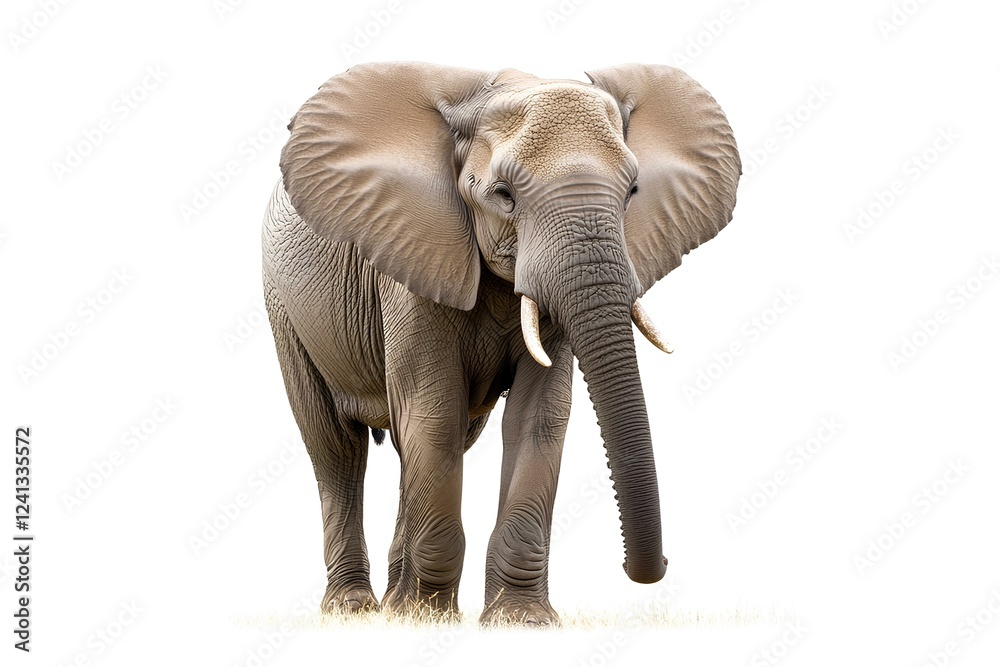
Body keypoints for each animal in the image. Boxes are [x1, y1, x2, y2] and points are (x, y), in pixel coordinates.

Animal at [262, 61, 740, 626]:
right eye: (504, 195)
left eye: (632, 192)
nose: (654, 567)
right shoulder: (415, 256)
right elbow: (434, 415)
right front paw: (431, 618)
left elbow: (537, 417)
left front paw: (520, 621)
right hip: (284, 309)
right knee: (336, 448)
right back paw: (354, 608)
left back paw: (395, 607)